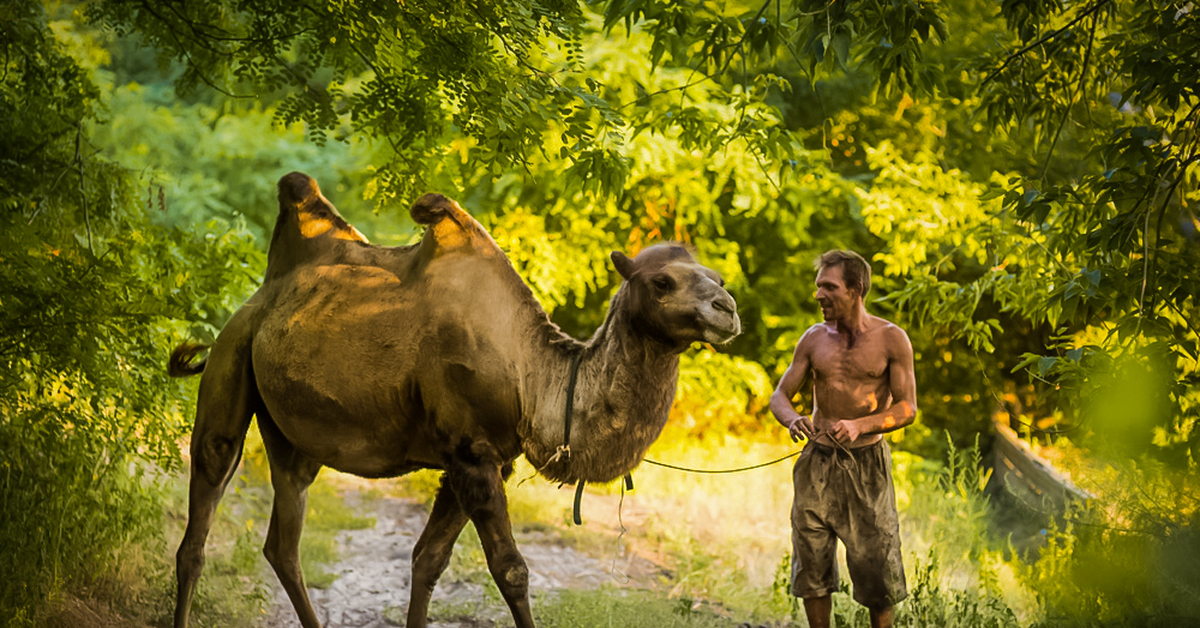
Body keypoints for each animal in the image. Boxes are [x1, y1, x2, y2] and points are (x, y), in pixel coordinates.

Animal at [164, 171, 734, 628]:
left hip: (292, 434)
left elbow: (427, 559)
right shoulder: (472, 453)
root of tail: (259, 299)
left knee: (282, 542)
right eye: (662, 282)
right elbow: (511, 570)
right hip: (229, 363)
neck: (534, 377)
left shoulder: (487, 460)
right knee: (200, 519)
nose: (726, 309)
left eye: (718, 278)